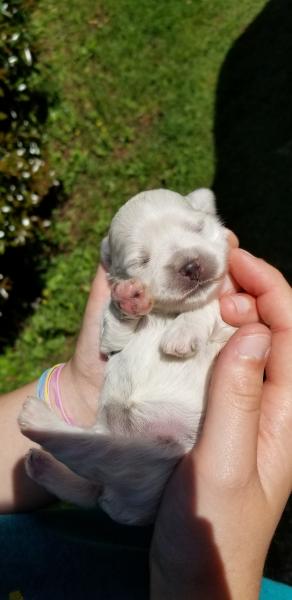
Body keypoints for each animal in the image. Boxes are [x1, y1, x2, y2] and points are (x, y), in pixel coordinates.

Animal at [18, 188, 235, 524]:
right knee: (89, 464)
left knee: (91, 459)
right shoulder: (111, 342)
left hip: (151, 459)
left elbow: (209, 306)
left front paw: (180, 335)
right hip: (128, 449)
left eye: (198, 228)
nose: (191, 265)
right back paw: (39, 445)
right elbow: (115, 328)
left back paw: (38, 429)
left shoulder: (235, 316)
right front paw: (128, 298)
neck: (166, 314)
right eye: (141, 260)